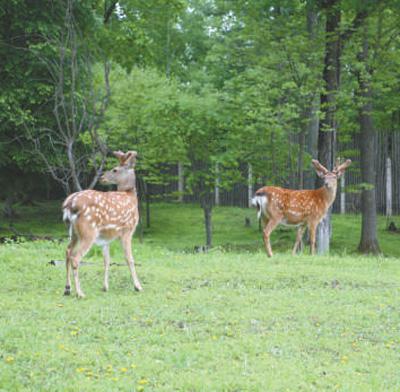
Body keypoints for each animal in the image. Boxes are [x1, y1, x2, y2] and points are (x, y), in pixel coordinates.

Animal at [61, 150, 143, 298]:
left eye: (115, 170)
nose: (102, 177)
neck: (130, 197)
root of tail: (69, 204)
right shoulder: (127, 230)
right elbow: (129, 258)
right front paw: (138, 286)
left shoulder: (106, 237)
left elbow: (106, 260)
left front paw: (105, 287)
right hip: (88, 231)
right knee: (76, 257)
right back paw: (80, 293)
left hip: (74, 232)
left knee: (67, 251)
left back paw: (67, 288)